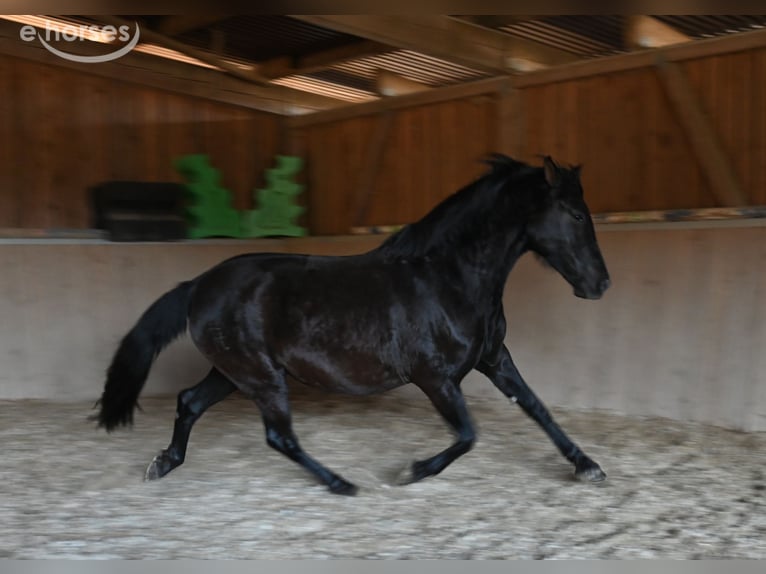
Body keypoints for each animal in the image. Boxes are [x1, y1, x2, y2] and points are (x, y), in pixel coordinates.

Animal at [94, 154, 611, 495]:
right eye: (574, 213)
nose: (601, 283)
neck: (449, 277)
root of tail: (200, 283)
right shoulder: (435, 378)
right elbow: (468, 435)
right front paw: (411, 471)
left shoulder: (494, 359)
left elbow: (538, 409)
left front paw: (588, 466)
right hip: (260, 377)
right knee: (278, 436)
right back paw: (341, 482)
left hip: (234, 373)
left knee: (190, 402)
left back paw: (164, 464)